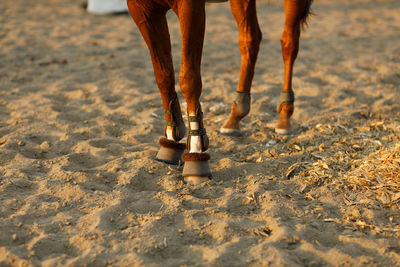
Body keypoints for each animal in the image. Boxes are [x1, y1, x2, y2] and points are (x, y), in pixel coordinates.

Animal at [127, 0, 312, 184]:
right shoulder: (142, 11)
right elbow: (163, 75)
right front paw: (171, 140)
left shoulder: (190, 7)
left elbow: (188, 78)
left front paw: (196, 153)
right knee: (250, 40)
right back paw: (235, 116)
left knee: (289, 42)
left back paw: (285, 114)